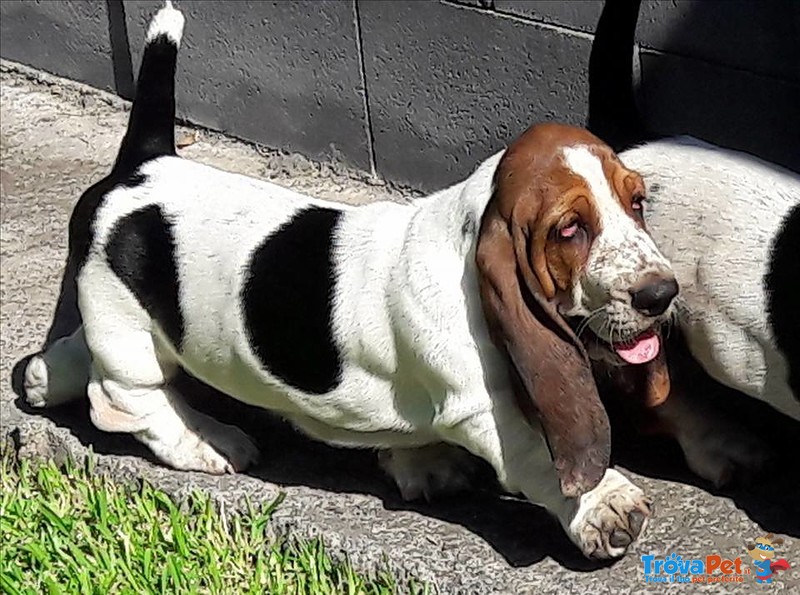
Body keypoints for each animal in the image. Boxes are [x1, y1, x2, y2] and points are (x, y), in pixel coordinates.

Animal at [21, 1, 680, 560]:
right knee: (123, 400)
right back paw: (206, 440)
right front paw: (603, 504)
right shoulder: (480, 406)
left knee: (82, 355)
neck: (465, 243)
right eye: (569, 228)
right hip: (129, 331)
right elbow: (538, 456)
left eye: (637, 201)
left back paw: (42, 377)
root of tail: (144, 165)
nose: (662, 294)